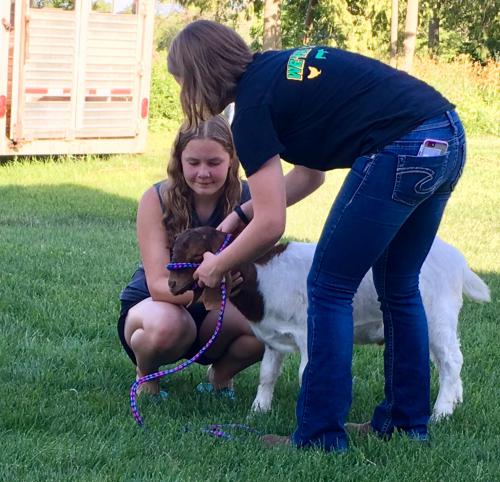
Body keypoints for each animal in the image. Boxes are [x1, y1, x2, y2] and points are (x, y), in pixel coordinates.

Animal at [167, 226, 488, 418]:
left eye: (197, 256)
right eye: (174, 248)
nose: (170, 284)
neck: (262, 278)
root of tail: (458, 261)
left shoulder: (308, 332)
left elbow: (306, 373)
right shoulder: (274, 338)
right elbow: (267, 374)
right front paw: (258, 411)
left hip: (439, 314)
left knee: (452, 360)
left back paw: (441, 412)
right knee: (444, 360)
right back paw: (454, 401)